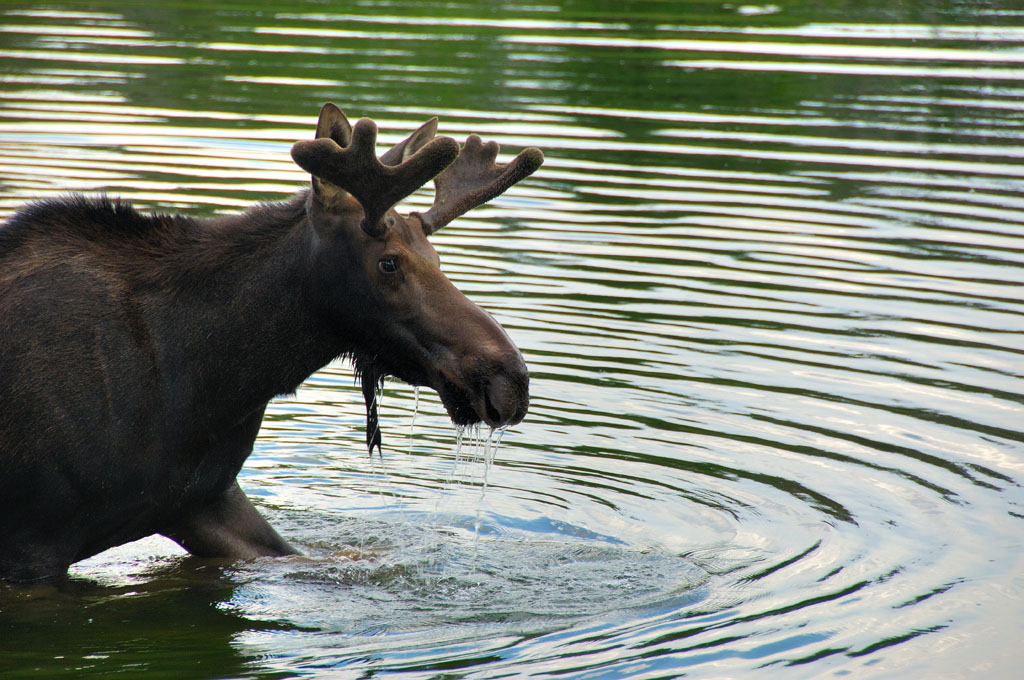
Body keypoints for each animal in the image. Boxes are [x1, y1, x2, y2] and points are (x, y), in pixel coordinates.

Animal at [0, 103, 544, 581]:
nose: (510, 380)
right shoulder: (32, 541)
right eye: (389, 262)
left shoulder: (201, 499)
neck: (209, 383)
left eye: (435, 256)